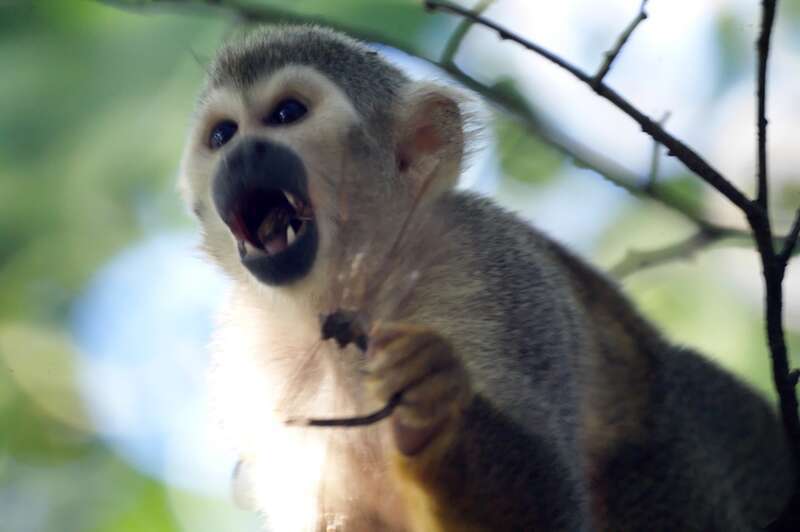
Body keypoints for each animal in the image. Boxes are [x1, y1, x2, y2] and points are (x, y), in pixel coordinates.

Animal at [178, 25, 795, 531]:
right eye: (223, 135)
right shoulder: (249, 358)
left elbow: (548, 511)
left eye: (287, 114)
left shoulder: (487, 267)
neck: (354, 286)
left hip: (686, 460)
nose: (244, 151)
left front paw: (437, 399)